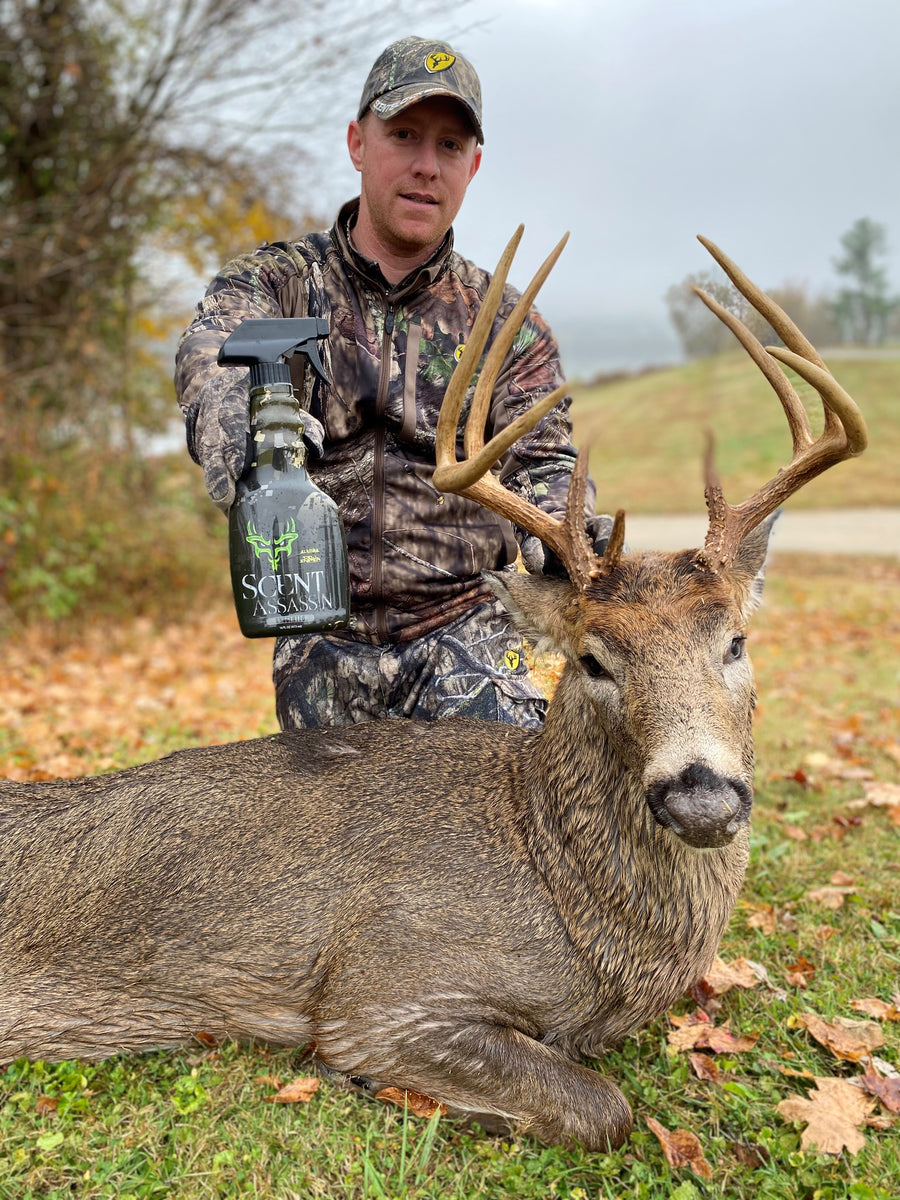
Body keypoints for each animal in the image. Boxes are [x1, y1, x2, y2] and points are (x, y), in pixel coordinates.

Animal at [0, 231, 866, 1151]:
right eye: (595, 658)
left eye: (734, 641)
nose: (700, 794)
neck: (566, 887)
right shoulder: (381, 992)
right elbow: (603, 1108)